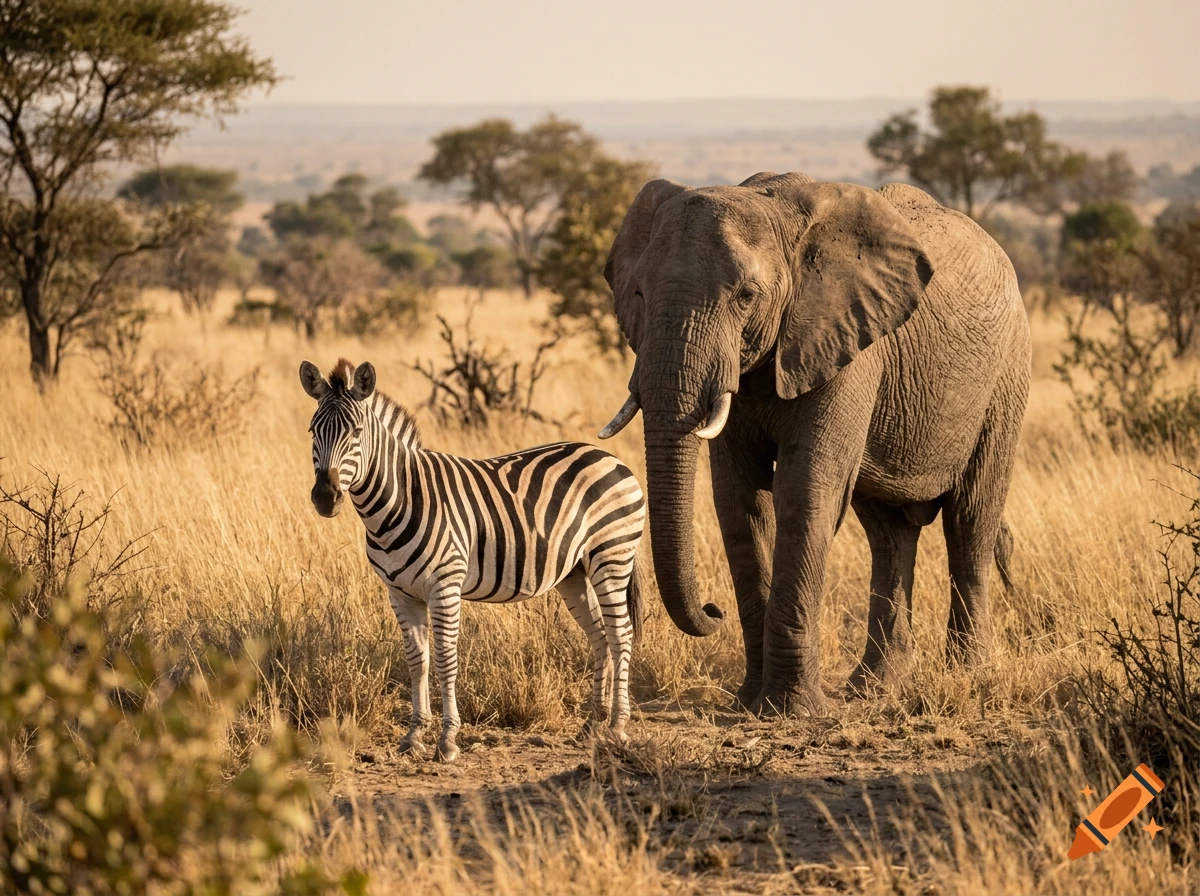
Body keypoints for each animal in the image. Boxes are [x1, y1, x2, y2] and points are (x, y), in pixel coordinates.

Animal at [299, 358, 646, 761]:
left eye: (356, 432)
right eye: (313, 431)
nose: (325, 497)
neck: (396, 502)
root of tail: (609, 457)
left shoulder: (444, 586)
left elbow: (445, 658)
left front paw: (447, 739)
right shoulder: (400, 593)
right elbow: (417, 660)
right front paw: (413, 735)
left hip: (612, 556)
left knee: (620, 635)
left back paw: (617, 727)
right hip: (574, 573)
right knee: (600, 636)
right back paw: (592, 724)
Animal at [598, 172, 1030, 715]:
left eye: (746, 296)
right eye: (638, 293)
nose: (713, 610)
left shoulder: (846, 344)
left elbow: (804, 493)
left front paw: (790, 710)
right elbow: (739, 502)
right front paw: (750, 702)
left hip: (1005, 378)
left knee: (970, 522)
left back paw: (970, 675)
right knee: (889, 534)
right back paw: (875, 687)